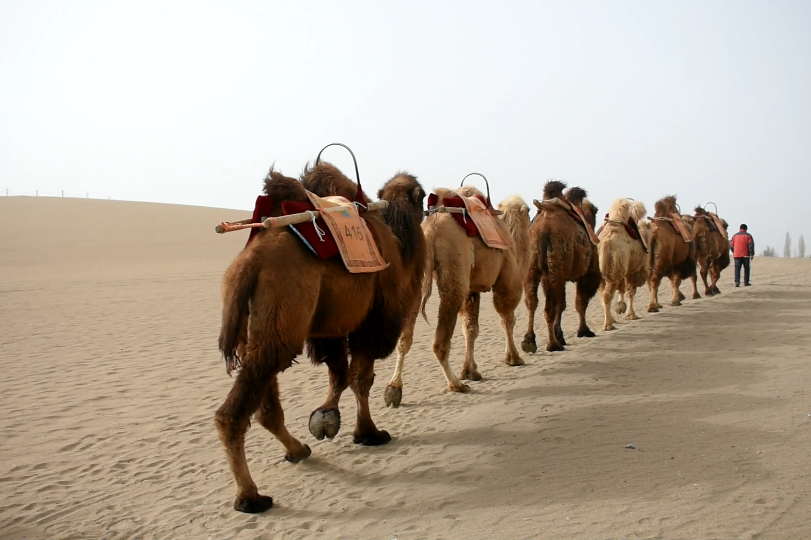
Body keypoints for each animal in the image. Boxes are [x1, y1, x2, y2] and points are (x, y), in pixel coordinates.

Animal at [216, 163, 432, 516]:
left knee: (264, 403)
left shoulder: (328, 328)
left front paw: (326, 418)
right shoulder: (370, 322)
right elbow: (360, 378)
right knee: (234, 412)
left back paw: (297, 450)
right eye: (423, 194)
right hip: (284, 315)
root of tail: (249, 262)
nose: (428, 209)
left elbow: (339, 374)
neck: (398, 247)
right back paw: (250, 497)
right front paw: (369, 433)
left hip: (259, 332)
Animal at [382, 188, 532, 402]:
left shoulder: (472, 289)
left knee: (405, 337)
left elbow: (471, 328)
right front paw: (513, 358)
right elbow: (507, 318)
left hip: (417, 274)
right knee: (440, 340)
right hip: (454, 268)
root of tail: (430, 230)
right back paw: (456, 385)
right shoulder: (507, 278)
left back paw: (394, 388)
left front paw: (470, 371)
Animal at [520, 179, 604, 352]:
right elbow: (580, 302)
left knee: (532, 301)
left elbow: (563, 304)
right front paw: (584, 331)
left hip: (533, 268)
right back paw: (553, 345)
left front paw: (561, 335)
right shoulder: (587, 273)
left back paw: (529, 341)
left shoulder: (563, 275)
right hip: (555, 268)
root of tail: (542, 230)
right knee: (549, 306)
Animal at [596, 198, 652, 332]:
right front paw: (631, 315)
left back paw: (611, 321)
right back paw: (608, 325)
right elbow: (630, 292)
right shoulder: (634, 270)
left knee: (603, 294)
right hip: (614, 269)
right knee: (607, 295)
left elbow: (623, 290)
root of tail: (605, 243)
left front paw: (622, 309)